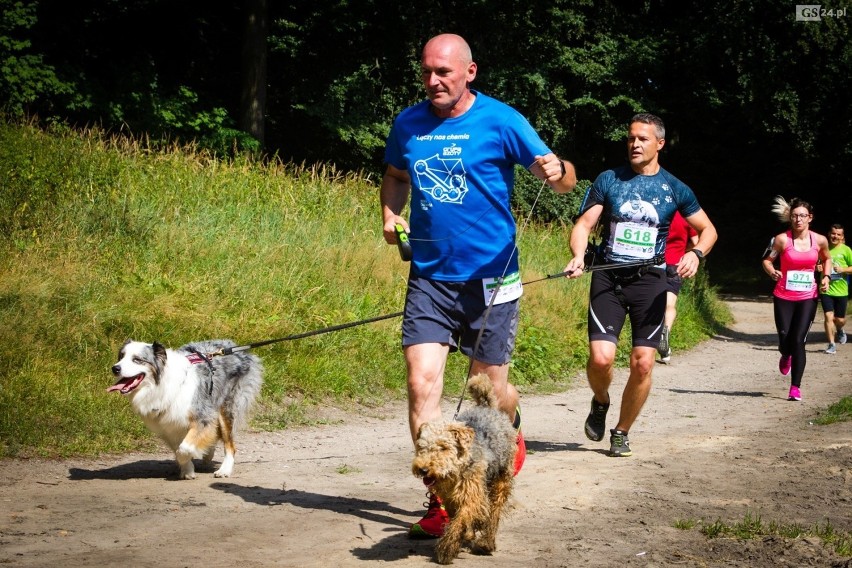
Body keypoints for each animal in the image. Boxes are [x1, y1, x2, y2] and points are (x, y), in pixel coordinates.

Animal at [110, 342, 262, 480]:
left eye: (137, 359)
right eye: (121, 356)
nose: (115, 368)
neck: (161, 385)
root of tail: (237, 348)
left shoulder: (203, 416)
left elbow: (183, 449)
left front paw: (188, 459)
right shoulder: (168, 426)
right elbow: (179, 448)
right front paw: (188, 470)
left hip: (225, 408)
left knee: (230, 444)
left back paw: (224, 470)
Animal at [410, 372, 516, 564]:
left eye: (443, 447)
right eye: (421, 446)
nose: (423, 469)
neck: (456, 471)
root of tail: (486, 408)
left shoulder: (471, 495)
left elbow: (461, 519)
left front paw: (447, 548)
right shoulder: (451, 499)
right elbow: (458, 518)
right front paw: (466, 534)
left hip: (501, 479)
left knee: (494, 511)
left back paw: (486, 542)